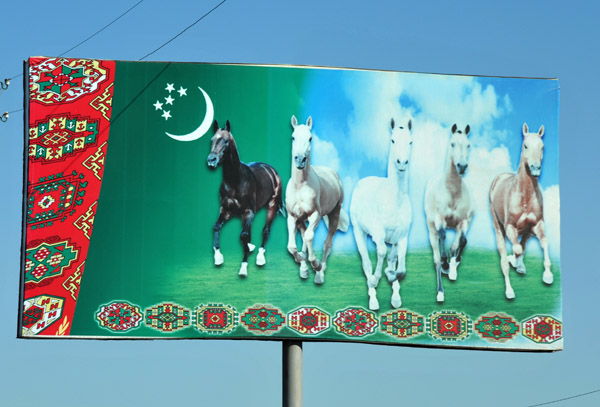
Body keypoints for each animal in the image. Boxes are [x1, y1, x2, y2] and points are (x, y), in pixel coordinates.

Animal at [206, 120, 284, 278]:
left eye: (225, 141)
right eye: (212, 140)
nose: (211, 160)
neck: (235, 181)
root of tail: (272, 170)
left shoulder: (249, 212)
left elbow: (243, 235)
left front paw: (243, 268)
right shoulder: (226, 209)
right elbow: (216, 227)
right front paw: (218, 258)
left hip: (272, 206)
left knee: (265, 231)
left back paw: (260, 258)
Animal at [288, 116, 350, 286]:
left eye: (310, 138)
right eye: (293, 137)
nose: (300, 160)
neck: (300, 186)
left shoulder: (315, 214)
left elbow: (309, 237)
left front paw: (315, 265)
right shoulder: (293, 216)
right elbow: (292, 246)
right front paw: (302, 263)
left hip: (334, 213)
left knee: (327, 244)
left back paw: (319, 274)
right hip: (302, 219)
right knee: (304, 237)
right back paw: (305, 268)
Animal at [352, 119, 412, 310]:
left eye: (410, 141)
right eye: (393, 140)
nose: (402, 163)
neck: (395, 200)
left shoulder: (402, 236)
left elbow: (399, 266)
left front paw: (391, 275)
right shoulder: (378, 235)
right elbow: (381, 252)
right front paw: (376, 279)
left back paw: (395, 298)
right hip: (358, 231)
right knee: (366, 263)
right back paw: (373, 299)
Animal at [426, 124, 474, 302]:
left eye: (468, 145)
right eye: (453, 144)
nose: (462, 166)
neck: (452, 191)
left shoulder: (464, 222)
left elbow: (460, 242)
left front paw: (454, 264)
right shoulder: (440, 220)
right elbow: (443, 237)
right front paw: (446, 264)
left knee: (455, 244)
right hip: (431, 229)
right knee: (436, 257)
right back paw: (440, 290)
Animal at [490, 122, 552, 298]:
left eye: (542, 147)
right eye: (525, 145)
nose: (535, 168)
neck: (524, 196)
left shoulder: (537, 224)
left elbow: (543, 242)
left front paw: (547, 276)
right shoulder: (510, 227)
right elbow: (516, 248)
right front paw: (513, 261)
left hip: (528, 230)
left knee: (523, 243)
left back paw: (519, 266)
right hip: (498, 227)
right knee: (506, 254)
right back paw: (509, 290)